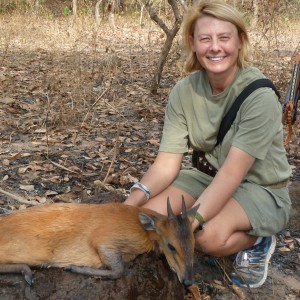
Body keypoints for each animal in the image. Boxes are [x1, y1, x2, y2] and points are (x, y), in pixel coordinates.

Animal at [0, 198, 199, 288]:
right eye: (171, 246)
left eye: (194, 244)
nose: (188, 281)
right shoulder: (103, 239)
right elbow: (118, 271)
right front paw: (73, 267)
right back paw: (27, 272)